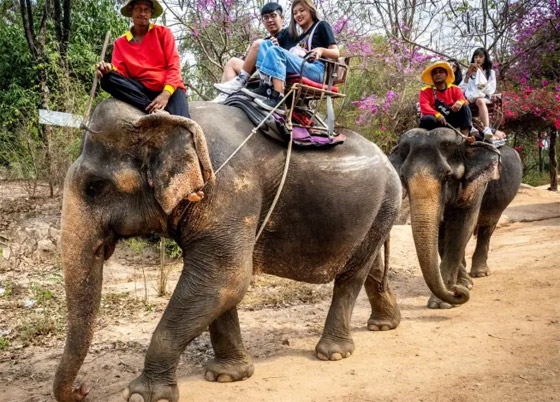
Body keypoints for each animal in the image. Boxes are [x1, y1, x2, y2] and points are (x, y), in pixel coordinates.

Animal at [53, 98, 402, 402]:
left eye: (94, 188)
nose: (82, 390)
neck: (161, 118)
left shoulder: (228, 188)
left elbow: (225, 277)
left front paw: (143, 395)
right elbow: (219, 286)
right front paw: (227, 376)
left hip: (387, 201)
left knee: (351, 276)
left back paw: (333, 353)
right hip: (378, 214)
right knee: (368, 266)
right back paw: (384, 325)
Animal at [388, 127, 524, 310]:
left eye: (447, 177)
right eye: (403, 177)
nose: (458, 293)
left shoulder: (476, 184)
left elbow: (461, 227)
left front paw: (441, 303)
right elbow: (442, 235)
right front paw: (461, 287)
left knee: (487, 227)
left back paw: (480, 273)